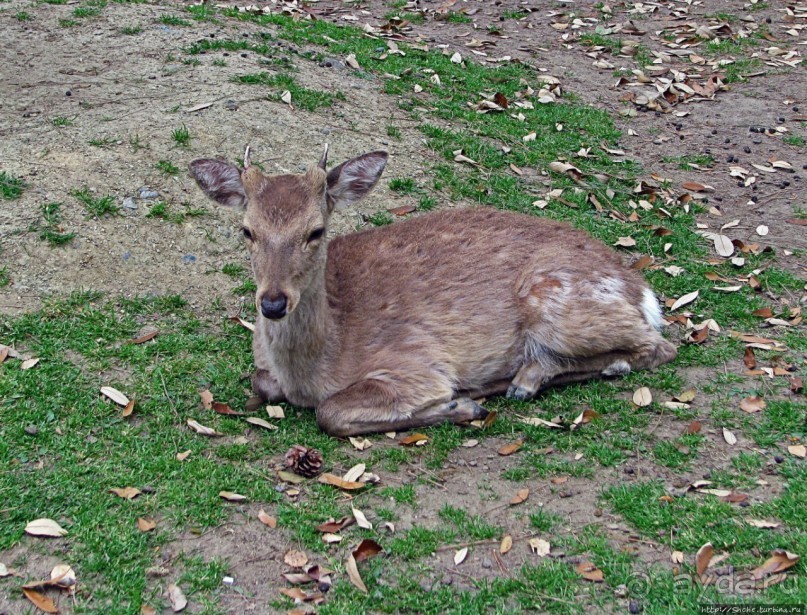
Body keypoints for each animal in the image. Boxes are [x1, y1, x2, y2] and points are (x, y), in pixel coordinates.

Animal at [189, 148, 676, 438]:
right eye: (247, 230)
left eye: (316, 231)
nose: (272, 303)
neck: (314, 369)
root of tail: (642, 290)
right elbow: (260, 381)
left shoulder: (415, 364)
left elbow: (332, 413)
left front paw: (460, 405)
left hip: (557, 300)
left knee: (656, 347)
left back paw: (521, 380)